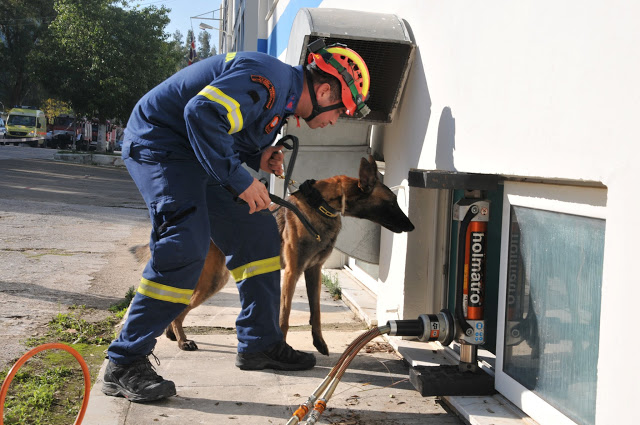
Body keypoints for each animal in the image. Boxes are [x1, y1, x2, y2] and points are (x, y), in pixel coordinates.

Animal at [165, 156, 416, 354]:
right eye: (391, 202)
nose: (412, 227)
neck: (321, 205)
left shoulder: (313, 271)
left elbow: (316, 313)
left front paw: (319, 343)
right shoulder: (292, 272)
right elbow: (284, 319)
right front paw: (283, 348)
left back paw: (172, 334)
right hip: (214, 279)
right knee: (181, 306)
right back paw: (182, 340)